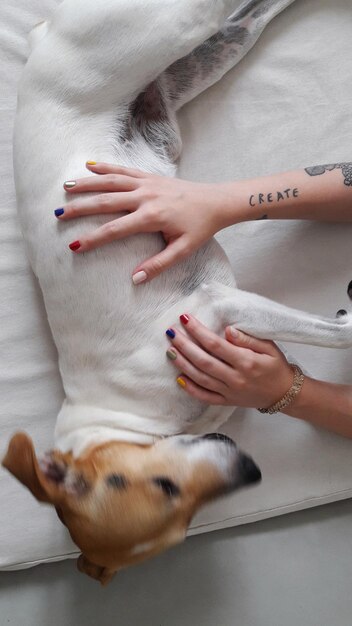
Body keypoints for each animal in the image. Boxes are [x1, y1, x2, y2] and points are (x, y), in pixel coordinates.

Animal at [3, 1, 352, 584]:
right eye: (183, 519)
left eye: (162, 487)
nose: (250, 470)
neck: (123, 421)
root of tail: (41, 39)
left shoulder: (212, 307)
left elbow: (337, 336)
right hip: (210, 52)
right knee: (251, 14)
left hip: (169, 25)